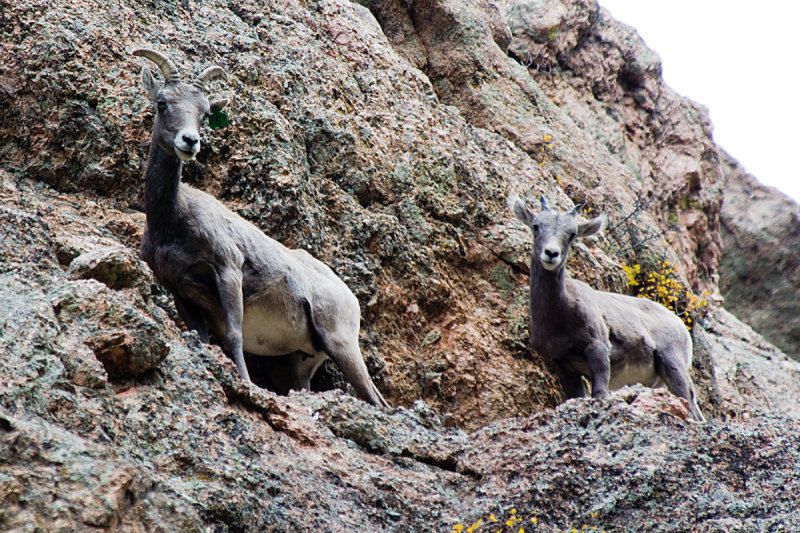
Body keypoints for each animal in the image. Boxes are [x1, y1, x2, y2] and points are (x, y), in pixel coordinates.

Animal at [132, 48, 388, 408]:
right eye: (162, 103)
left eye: (205, 114)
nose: (190, 141)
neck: (173, 221)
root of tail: (351, 298)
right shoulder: (180, 291)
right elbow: (203, 337)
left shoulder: (228, 271)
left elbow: (234, 333)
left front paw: (244, 382)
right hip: (298, 363)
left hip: (341, 344)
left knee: (375, 398)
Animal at [510, 191, 704, 420]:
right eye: (536, 226)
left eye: (572, 234)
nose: (551, 254)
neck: (559, 315)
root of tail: (681, 326)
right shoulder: (562, 364)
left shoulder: (598, 347)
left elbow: (600, 392)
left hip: (673, 364)